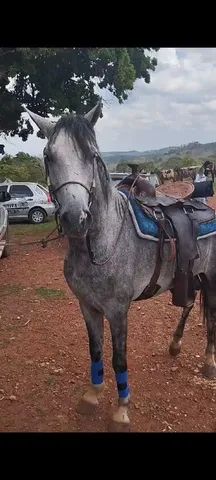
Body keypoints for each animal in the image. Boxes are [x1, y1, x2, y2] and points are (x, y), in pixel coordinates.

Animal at [26, 101, 216, 432]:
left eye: (92, 155)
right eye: (49, 155)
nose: (75, 218)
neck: (103, 242)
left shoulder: (117, 310)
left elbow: (118, 359)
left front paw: (121, 411)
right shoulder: (87, 305)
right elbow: (96, 350)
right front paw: (92, 396)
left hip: (213, 277)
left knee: (213, 316)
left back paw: (208, 363)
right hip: (192, 274)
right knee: (190, 304)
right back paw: (175, 345)